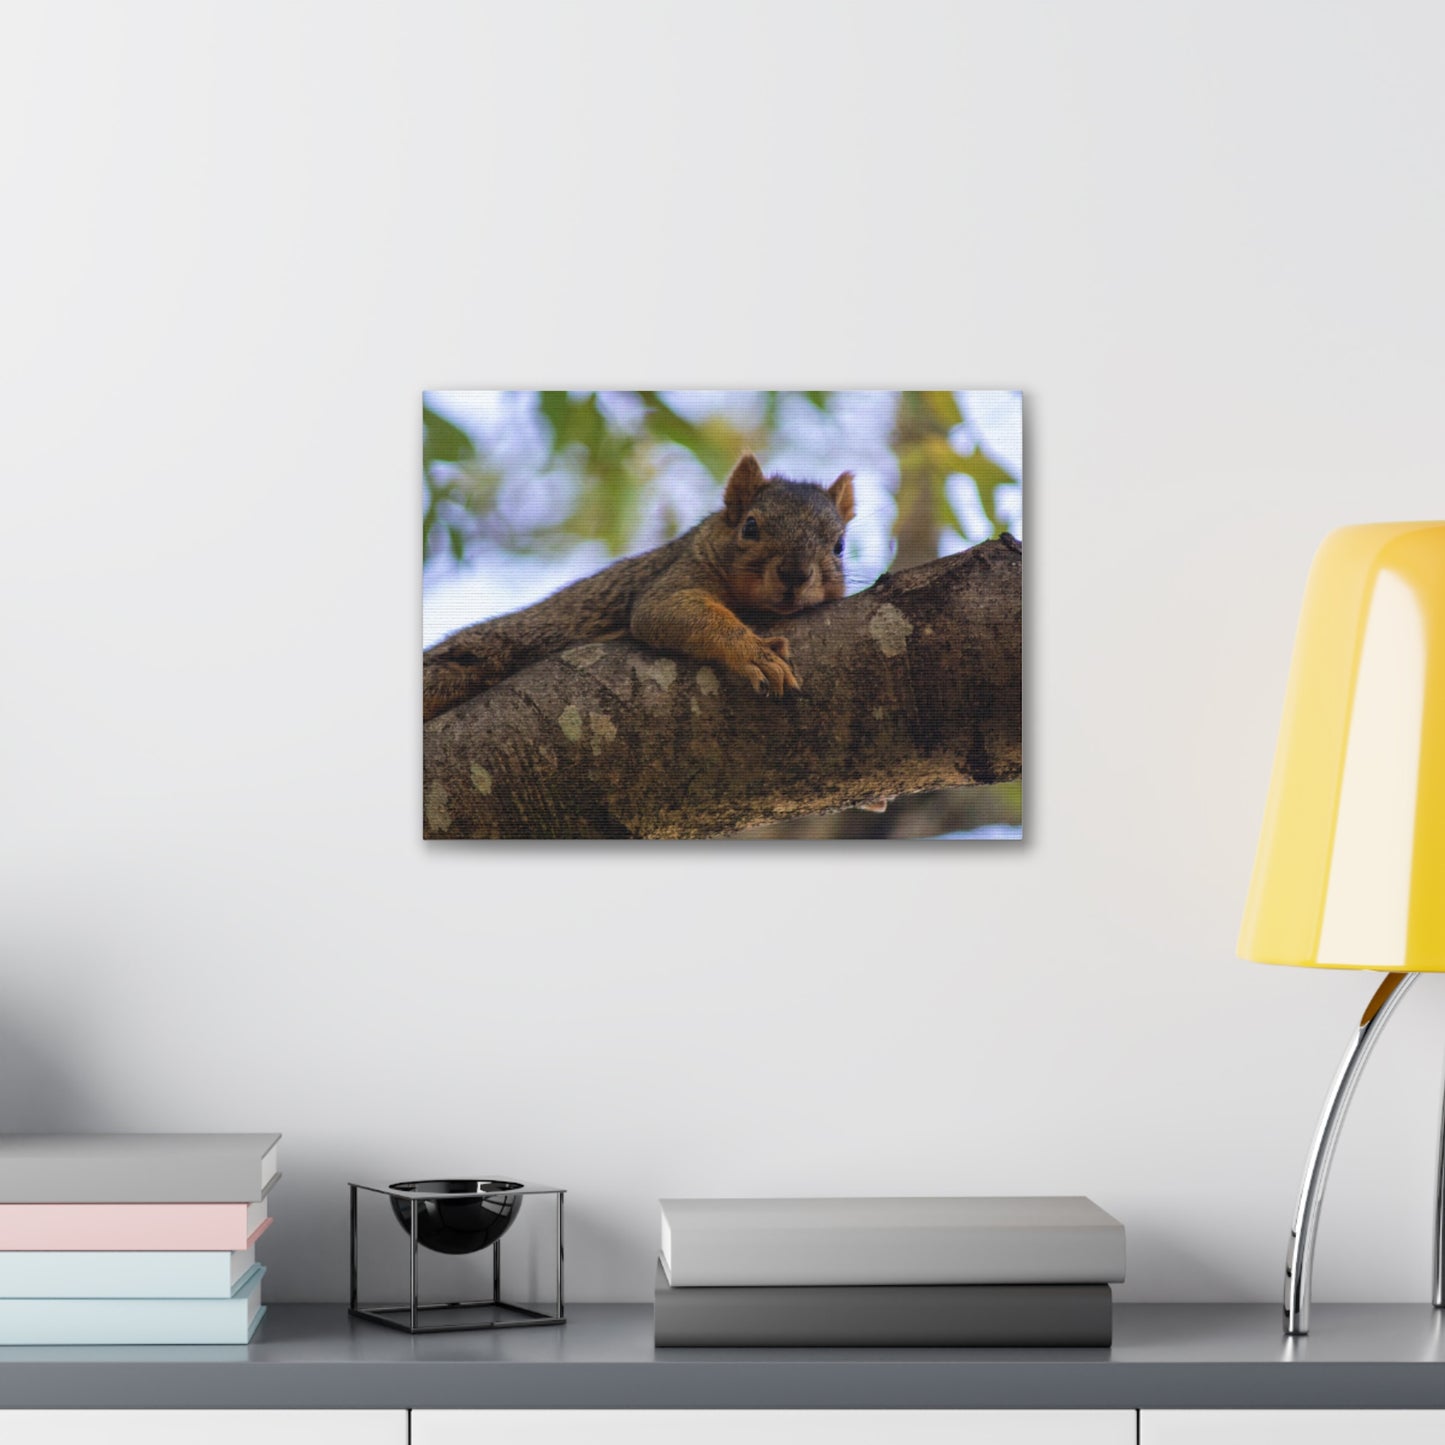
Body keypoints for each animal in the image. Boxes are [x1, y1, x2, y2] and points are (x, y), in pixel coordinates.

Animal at [423, 453, 856, 721]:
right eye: (750, 527)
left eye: (839, 545)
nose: (795, 575)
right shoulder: (674, 577)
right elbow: (666, 611)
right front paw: (756, 654)